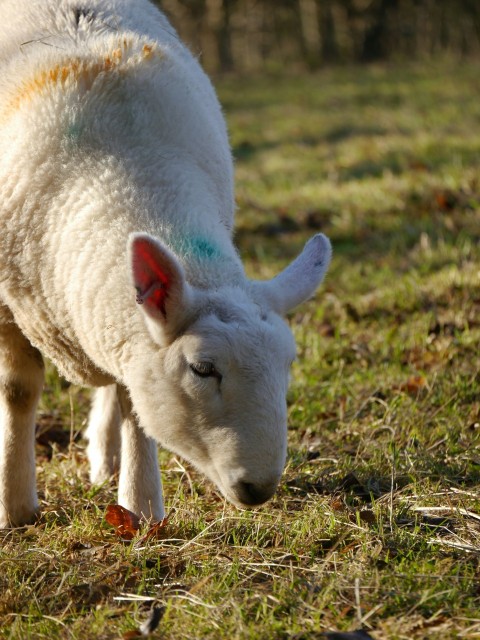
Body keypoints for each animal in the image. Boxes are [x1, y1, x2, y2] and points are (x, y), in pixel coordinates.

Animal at [0, 0, 330, 528]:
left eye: (289, 363)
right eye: (202, 369)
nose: (260, 488)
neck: (123, 170)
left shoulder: (127, 331)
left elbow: (136, 403)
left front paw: (139, 507)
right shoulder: (8, 302)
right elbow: (18, 391)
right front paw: (15, 506)